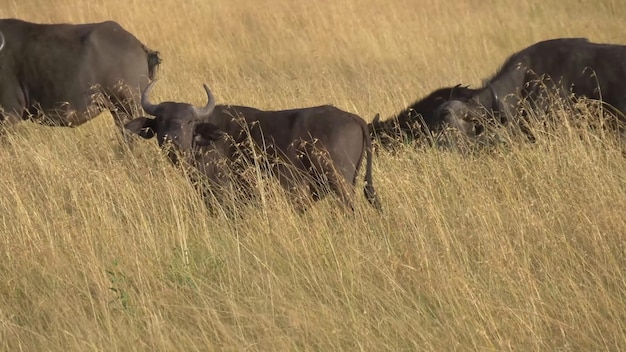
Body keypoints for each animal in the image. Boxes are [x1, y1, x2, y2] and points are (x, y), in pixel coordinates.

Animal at [124, 80, 380, 212]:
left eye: (189, 121)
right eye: (161, 120)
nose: (172, 138)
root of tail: (351, 117)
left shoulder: (222, 192)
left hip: (339, 182)